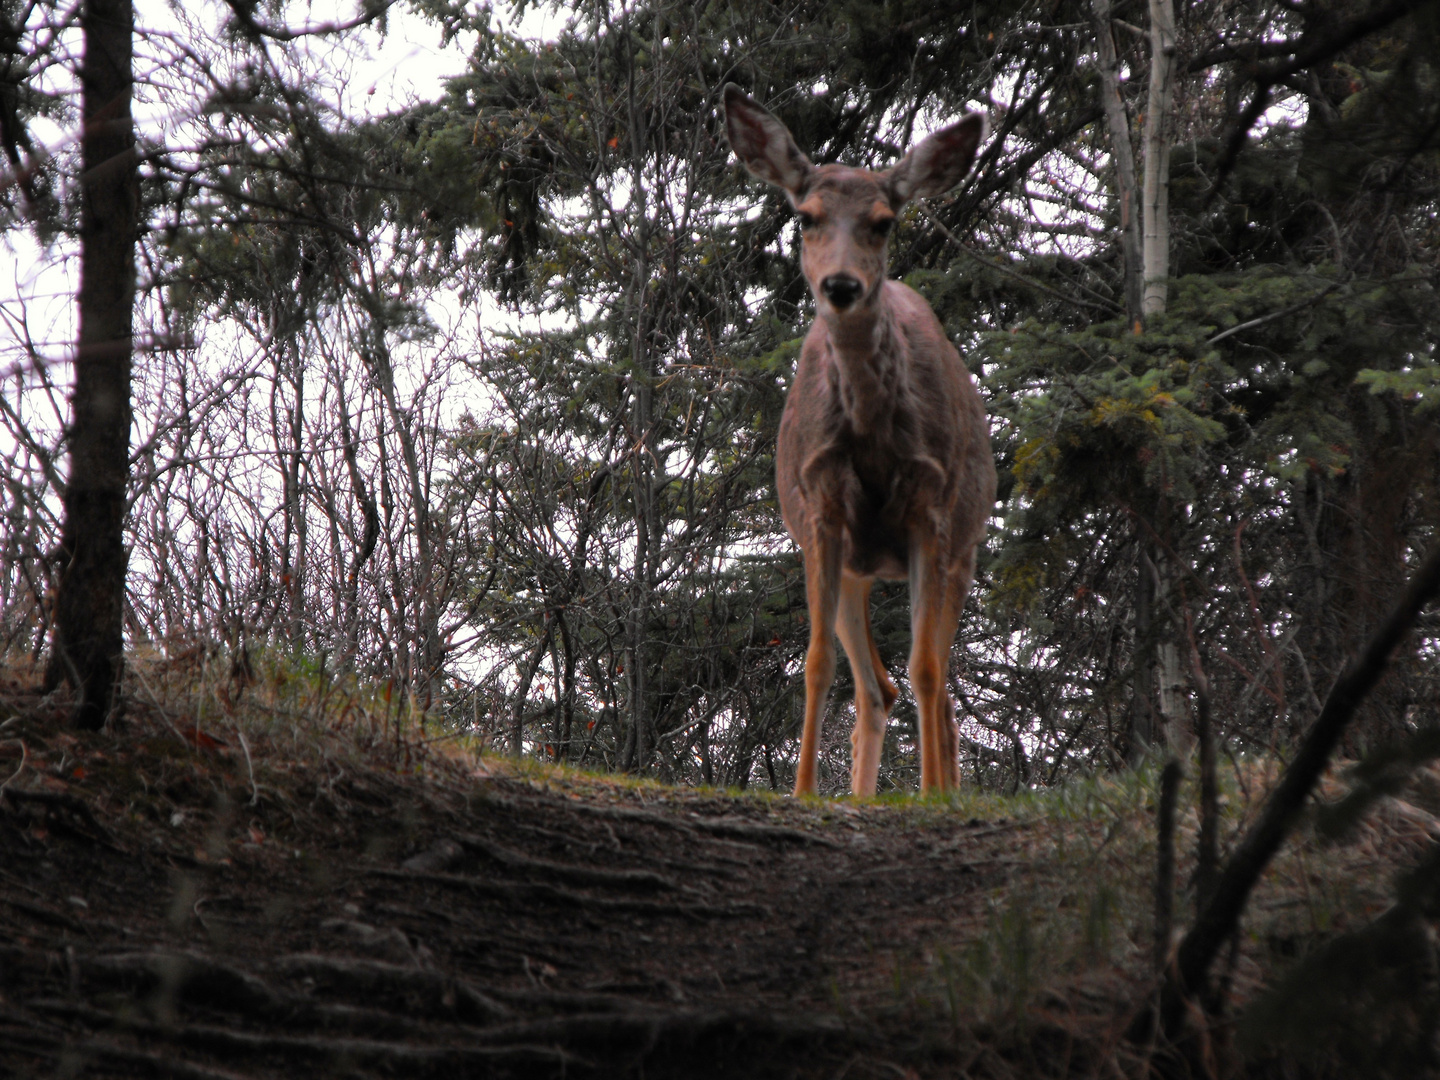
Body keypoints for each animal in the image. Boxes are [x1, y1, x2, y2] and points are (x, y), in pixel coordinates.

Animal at [725, 84, 996, 800]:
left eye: (883, 221)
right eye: (806, 217)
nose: (842, 285)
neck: (873, 437)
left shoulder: (931, 512)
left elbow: (927, 666)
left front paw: (929, 797)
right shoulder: (822, 510)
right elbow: (817, 662)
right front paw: (801, 794)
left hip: (963, 548)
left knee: (934, 683)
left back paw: (943, 790)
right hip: (854, 568)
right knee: (878, 687)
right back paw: (859, 795)